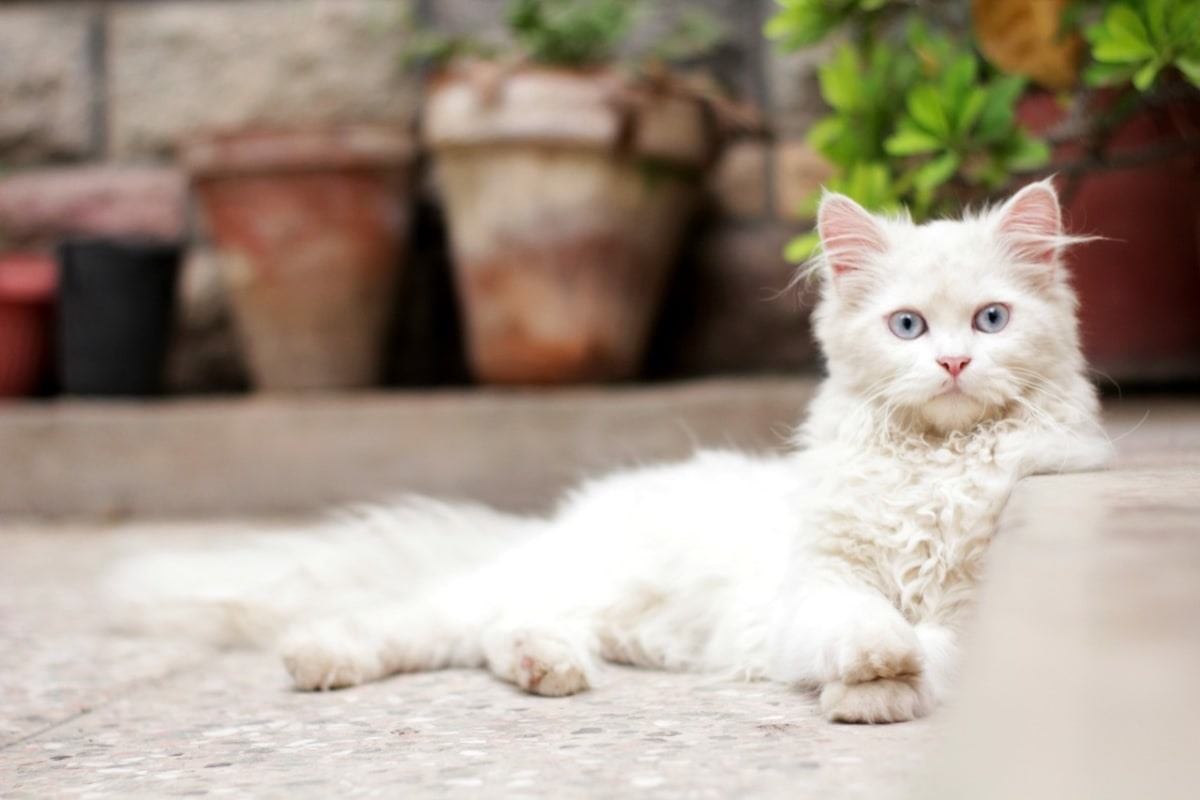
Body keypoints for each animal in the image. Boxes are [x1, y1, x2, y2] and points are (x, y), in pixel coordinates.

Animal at [108, 179, 1108, 724]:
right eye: (907, 327)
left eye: (991, 320)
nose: (953, 362)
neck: (932, 468)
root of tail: (565, 520)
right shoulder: (817, 586)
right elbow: (862, 625)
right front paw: (872, 667)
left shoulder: (977, 602)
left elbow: (933, 649)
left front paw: (882, 691)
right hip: (553, 579)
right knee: (420, 619)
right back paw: (321, 658)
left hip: (597, 608)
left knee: (495, 632)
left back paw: (544, 669)